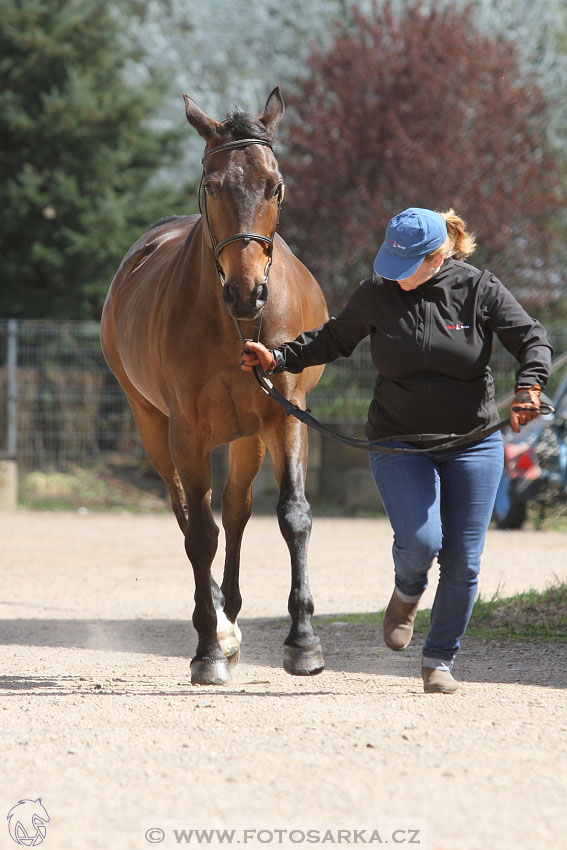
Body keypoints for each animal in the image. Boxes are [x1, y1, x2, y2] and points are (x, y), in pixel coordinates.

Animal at [100, 88, 326, 684]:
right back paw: (221, 626)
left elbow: (293, 516)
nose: (247, 292)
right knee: (188, 514)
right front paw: (208, 648)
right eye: (211, 184)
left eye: (275, 185)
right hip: (152, 426)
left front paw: (303, 641)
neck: (235, 326)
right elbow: (200, 533)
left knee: (237, 509)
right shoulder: (187, 430)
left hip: (249, 434)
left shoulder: (285, 413)